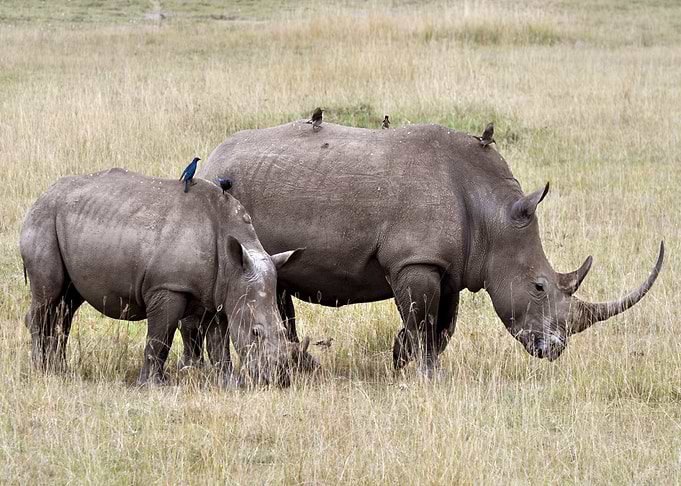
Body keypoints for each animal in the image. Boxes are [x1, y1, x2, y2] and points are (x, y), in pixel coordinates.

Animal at [19, 168, 304, 386]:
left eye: (283, 331)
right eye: (256, 332)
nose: (280, 379)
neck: (233, 263)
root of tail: (42, 195)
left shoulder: (222, 292)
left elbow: (219, 343)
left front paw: (230, 383)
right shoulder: (168, 286)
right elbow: (160, 338)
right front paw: (153, 385)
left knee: (67, 303)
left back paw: (60, 369)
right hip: (44, 218)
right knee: (49, 295)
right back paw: (41, 370)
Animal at [190, 121, 663, 377]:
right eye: (539, 287)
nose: (554, 350)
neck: (493, 212)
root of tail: (211, 158)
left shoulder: (451, 266)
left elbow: (441, 326)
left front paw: (406, 360)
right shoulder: (414, 261)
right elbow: (422, 320)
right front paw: (420, 373)